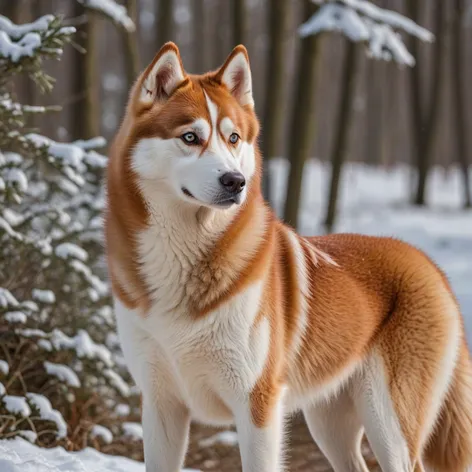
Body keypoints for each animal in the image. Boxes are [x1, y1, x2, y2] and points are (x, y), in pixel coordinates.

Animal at [104, 42, 472, 470]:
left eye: (233, 138)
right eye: (190, 137)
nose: (235, 182)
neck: (182, 256)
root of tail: (427, 262)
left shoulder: (258, 406)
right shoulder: (160, 404)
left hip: (388, 425)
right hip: (329, 423)